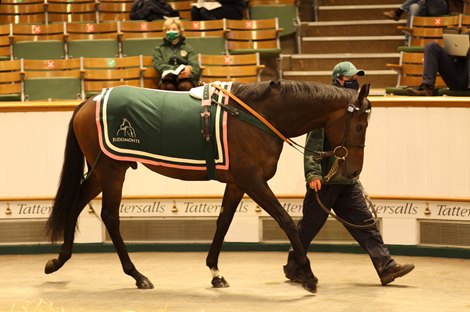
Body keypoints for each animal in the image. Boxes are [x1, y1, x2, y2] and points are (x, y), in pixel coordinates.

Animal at [46, 80, 372, 292]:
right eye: (359, 126)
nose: (354, 170)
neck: (257, 117)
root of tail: (90, 101)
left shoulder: (238, 183)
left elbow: (223, 222)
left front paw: (215, 271)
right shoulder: (253, 181)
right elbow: (286, 221)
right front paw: (308, 275)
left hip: (102, 171)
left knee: (77, 202)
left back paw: (58, 261)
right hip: (112, 171)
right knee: (110, 218)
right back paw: (137, 275)